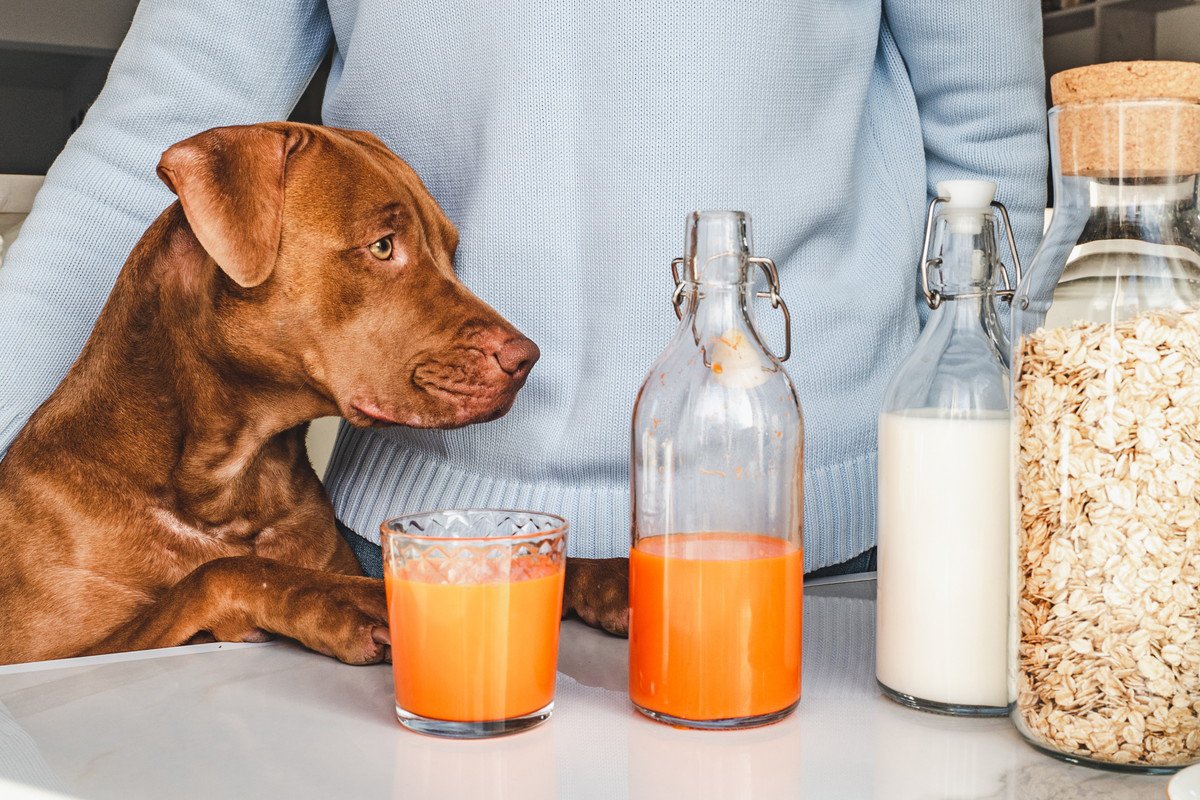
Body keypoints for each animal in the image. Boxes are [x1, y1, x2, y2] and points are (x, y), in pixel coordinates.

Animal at [0, 122, 624, 666]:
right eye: (382, 247)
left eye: (450, 250)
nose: (526, 360)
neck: (228, 488)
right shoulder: (52, 655)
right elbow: (220, 572)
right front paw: (340, 599)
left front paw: (603, 573)